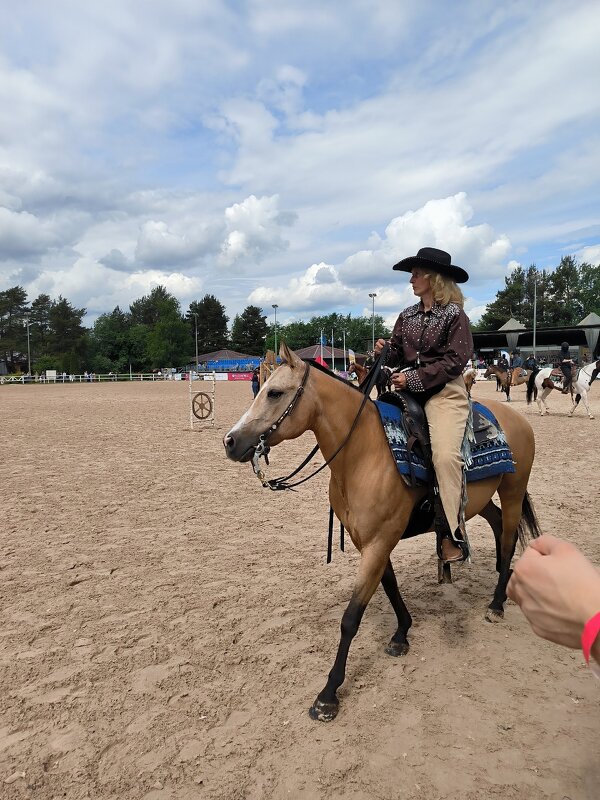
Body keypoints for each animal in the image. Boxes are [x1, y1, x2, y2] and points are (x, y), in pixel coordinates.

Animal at [225, 340, 544, 720]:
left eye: (274, 392)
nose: (230, 441)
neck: (365, 453)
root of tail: (518, 420)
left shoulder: (378, 542)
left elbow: (351, 617)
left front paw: (328, 694)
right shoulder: (370, 541)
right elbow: (389, 586)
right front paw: (401, 634)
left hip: (513, 491)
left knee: (509, 540)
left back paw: (496, 603)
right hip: (480, 501)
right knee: (495, 527)